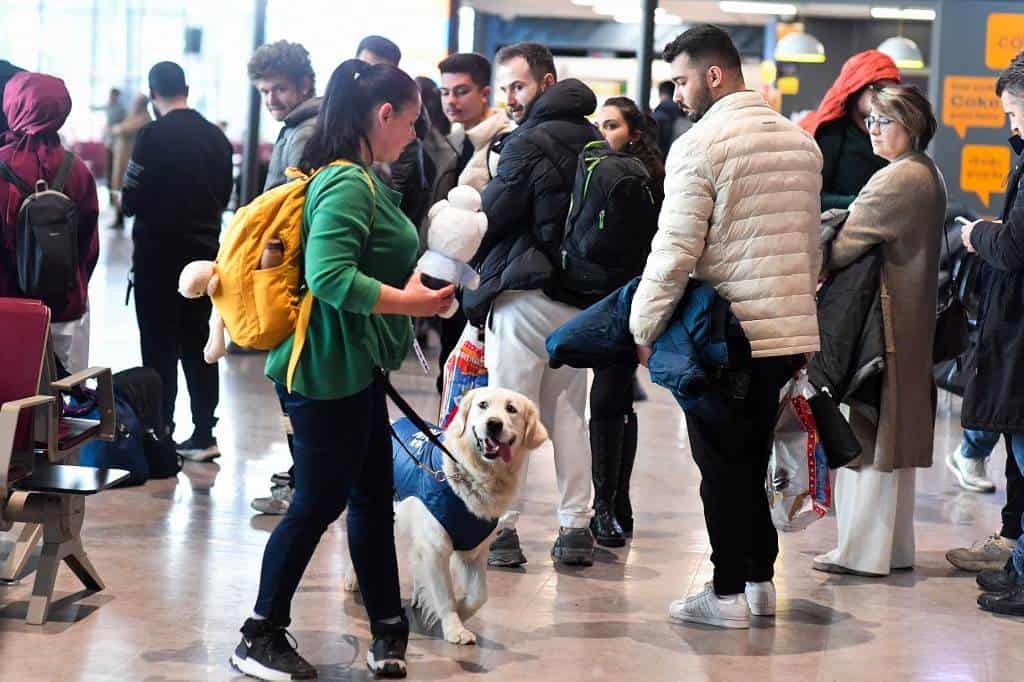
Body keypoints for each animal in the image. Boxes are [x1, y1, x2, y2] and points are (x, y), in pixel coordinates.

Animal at [339, 387, 548, 643]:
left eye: (511, 409)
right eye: (483, 405)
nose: (493, 424)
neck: (473, 474)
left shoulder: (474, 549)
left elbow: (479, 596)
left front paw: (460, 611)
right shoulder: (436, 546)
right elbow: (445, 595)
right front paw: (454, 627)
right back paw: (353, 578)